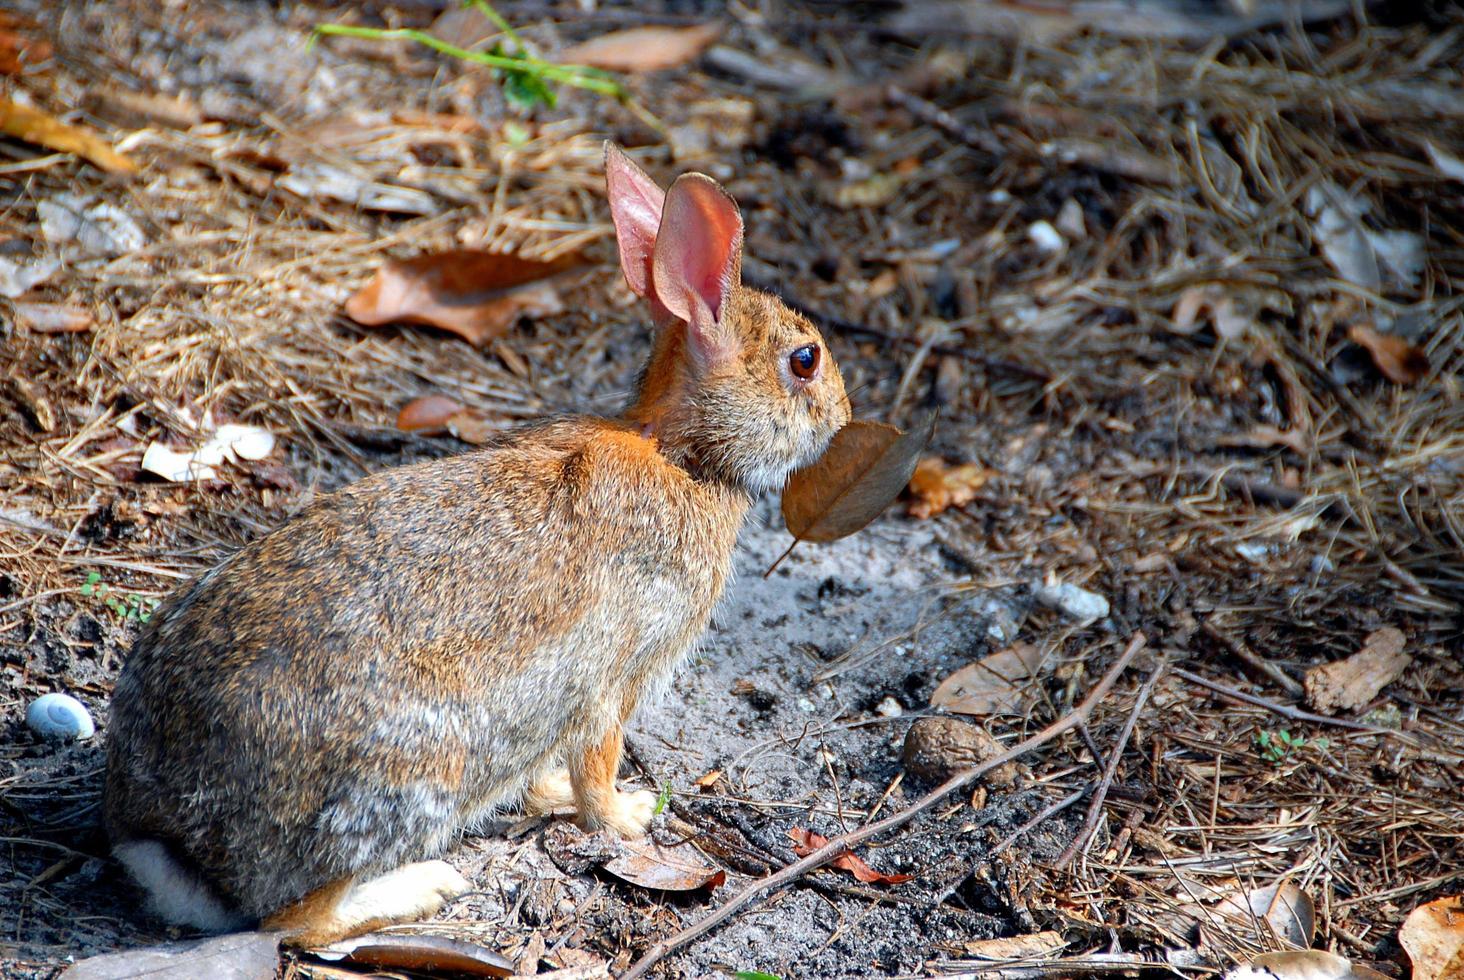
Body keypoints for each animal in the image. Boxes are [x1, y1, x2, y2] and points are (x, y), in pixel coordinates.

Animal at [103, 141, 854, 943]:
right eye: (804, 361)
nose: (844, 414)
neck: (683, 454)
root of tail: (169, 840)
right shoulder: (613, 674)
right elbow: (599, 762)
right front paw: (627, 816)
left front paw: (548, 794)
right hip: (416, 772)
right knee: (296, 921)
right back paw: (421, 887)